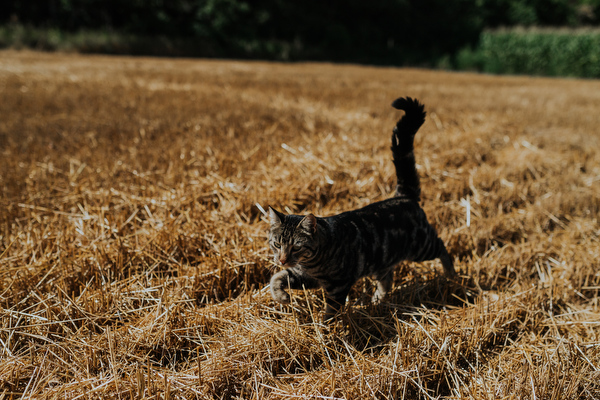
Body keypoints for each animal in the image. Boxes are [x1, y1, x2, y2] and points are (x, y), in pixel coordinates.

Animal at [268, 96, 454, 318]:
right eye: (276, 244)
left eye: (296, 246)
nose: (282, 259)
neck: (312, 262)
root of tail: (403, 195)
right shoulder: (303, 276)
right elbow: (276, 278)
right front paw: (281, 297)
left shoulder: (337, 287)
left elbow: (330, 313)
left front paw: (322, 327)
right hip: (383, 260)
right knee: (387, 278)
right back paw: (378, 300)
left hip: (422, 246)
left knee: (442, 246)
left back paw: (452, 276)